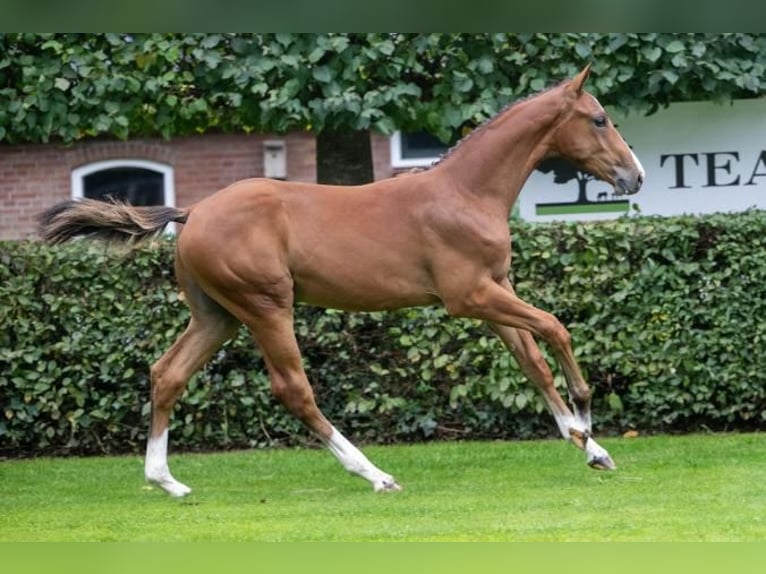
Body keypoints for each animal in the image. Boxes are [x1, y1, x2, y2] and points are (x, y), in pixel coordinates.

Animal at [39, 65, 644, 498]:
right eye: (599, 118)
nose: (634, 176)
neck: (466, 193)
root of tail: (191, 214)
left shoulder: (496, 293)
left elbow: (533, 360)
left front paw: (591, 448)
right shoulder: (469, 296)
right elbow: (556, 328)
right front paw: (586, 417)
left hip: (217, 317)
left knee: (167, 374)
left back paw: (166, 481)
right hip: (265, 307)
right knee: (293, 389)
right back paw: (376, 475)